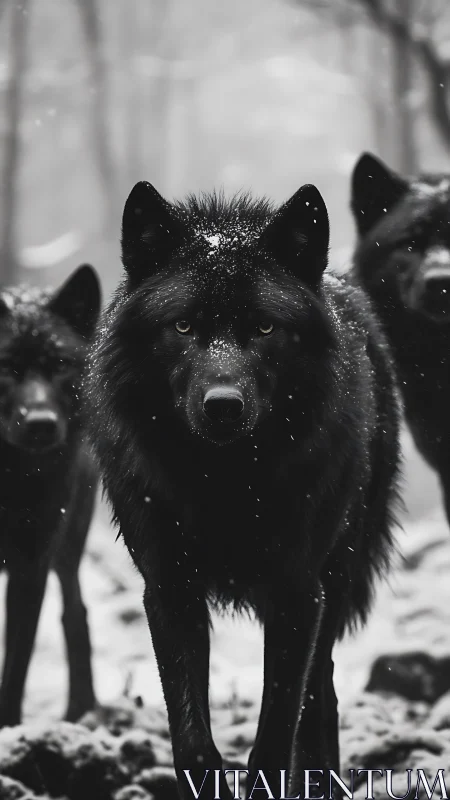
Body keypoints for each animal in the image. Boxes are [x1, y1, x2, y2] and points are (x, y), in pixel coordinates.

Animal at [87, 181, 400, 799]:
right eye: (183, 327)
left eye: (264, 327)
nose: (223, 406)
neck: (226, 483)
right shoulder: (170, 591)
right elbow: (190, 740)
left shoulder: (297, 595)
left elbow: (278, 730)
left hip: (335, 580)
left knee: (320, 695)